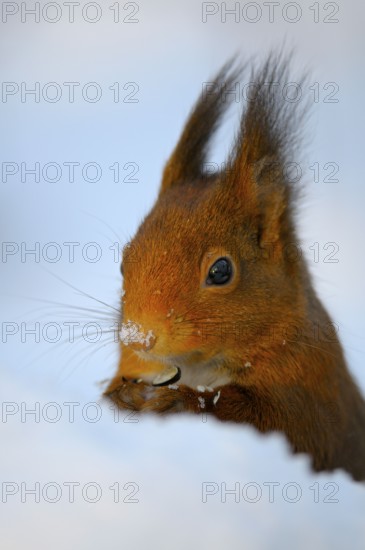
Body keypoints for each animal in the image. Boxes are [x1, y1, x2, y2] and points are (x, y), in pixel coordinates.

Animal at [103, 54, 364, 480]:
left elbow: (275, 425)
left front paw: (176, 403)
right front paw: (120, 396)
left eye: (221, 271)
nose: (137, 337)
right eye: (125, 261)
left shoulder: (313, 405)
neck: (200, 368)